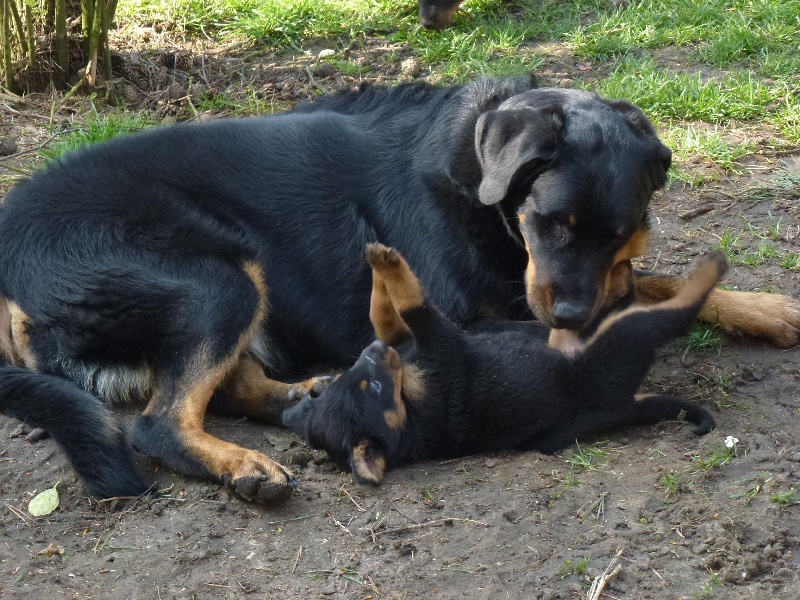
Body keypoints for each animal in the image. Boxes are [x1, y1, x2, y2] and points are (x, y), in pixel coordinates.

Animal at [282, 244, 720, 482]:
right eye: (372, 387)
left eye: (354, 374)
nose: (373, 352)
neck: (408, 400)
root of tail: (621, 406)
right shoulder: (443, 345)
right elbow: (413, 302)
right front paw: (390, 264)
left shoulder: (400, 338)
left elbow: (383, 310)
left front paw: (376, 260)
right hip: (621, 338)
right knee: (672, 314)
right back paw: (711, 267)